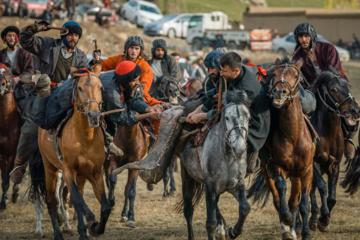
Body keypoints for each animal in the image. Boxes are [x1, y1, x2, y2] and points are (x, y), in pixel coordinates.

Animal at [34, 64, 110, 239]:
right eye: (80, 88)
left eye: (100, 87)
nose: (94, 115)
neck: (85, 137)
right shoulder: (68, 170)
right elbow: (76, 199)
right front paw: (84, 230)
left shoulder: (95, 172)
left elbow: (105, 206)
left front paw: (95, 228)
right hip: (50, 168)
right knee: (51, 201)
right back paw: (58, 233)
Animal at [248, 58, 316, 240]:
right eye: (276, 74)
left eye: (295, 76)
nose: (279, 92)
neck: (293, 136)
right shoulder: (276, 166)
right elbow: (280, 189)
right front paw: (286, 220)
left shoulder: (306, 171)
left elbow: (303, 203)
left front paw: (305, 233)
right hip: (266, 171)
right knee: (278, 199)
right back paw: (286, 229)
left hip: (296, 176)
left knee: (293, 201)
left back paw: (291, 230)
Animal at [306, 66, 360, 232]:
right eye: (333, 89)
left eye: (348, 87)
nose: (355, 110)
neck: (327, 134)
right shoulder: (314, 163)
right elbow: (323, 187)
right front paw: (322, 216)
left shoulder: (334, 164)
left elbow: (332, 196)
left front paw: (324, 220)